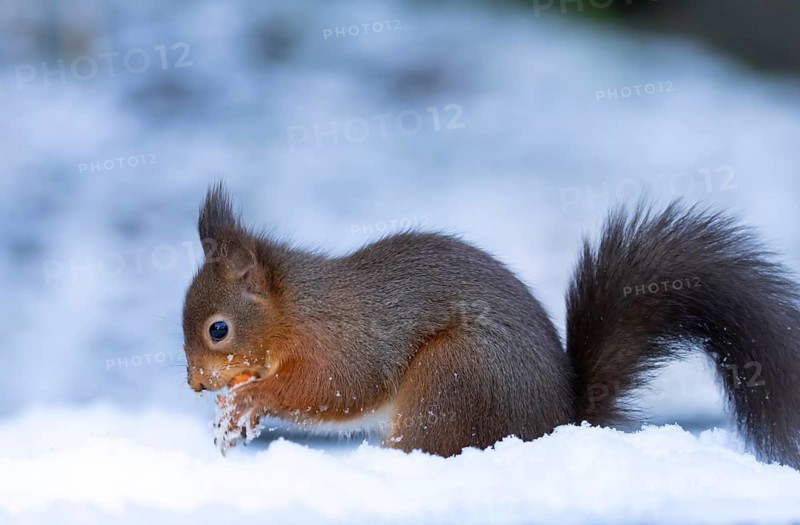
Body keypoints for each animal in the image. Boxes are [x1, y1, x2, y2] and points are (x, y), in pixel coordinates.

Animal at [182, 183, 800, 467]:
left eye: (218, 329)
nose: (195, 384)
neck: (296, 311)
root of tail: (560, 424)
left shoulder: (348, 342)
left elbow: (330, 389)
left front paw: (248, 402)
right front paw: (230, 419)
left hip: (455, 379)